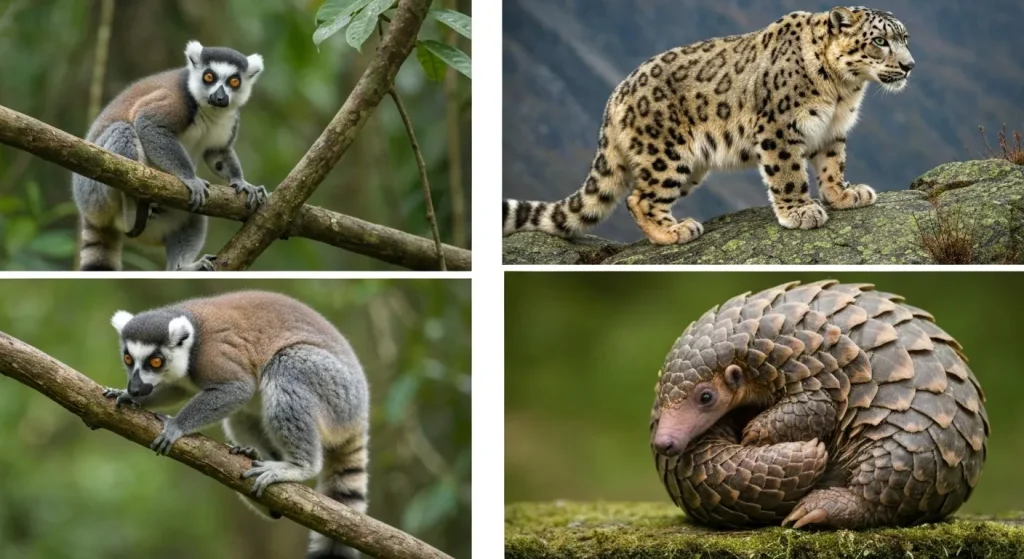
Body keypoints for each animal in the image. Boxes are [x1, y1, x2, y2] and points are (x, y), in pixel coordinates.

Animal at [502, 6, 915, 246]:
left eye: (905, 38)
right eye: (880, 41)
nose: (910, 65)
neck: (843, 91)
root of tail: (615, 98)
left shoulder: (832, 130)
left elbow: (832, 164)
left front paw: (843, 194)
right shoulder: (780, 128)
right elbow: (788, 173)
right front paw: (800, 211)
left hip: (689, 166)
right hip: (666, 155)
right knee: (639, 197)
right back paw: (673, 232)